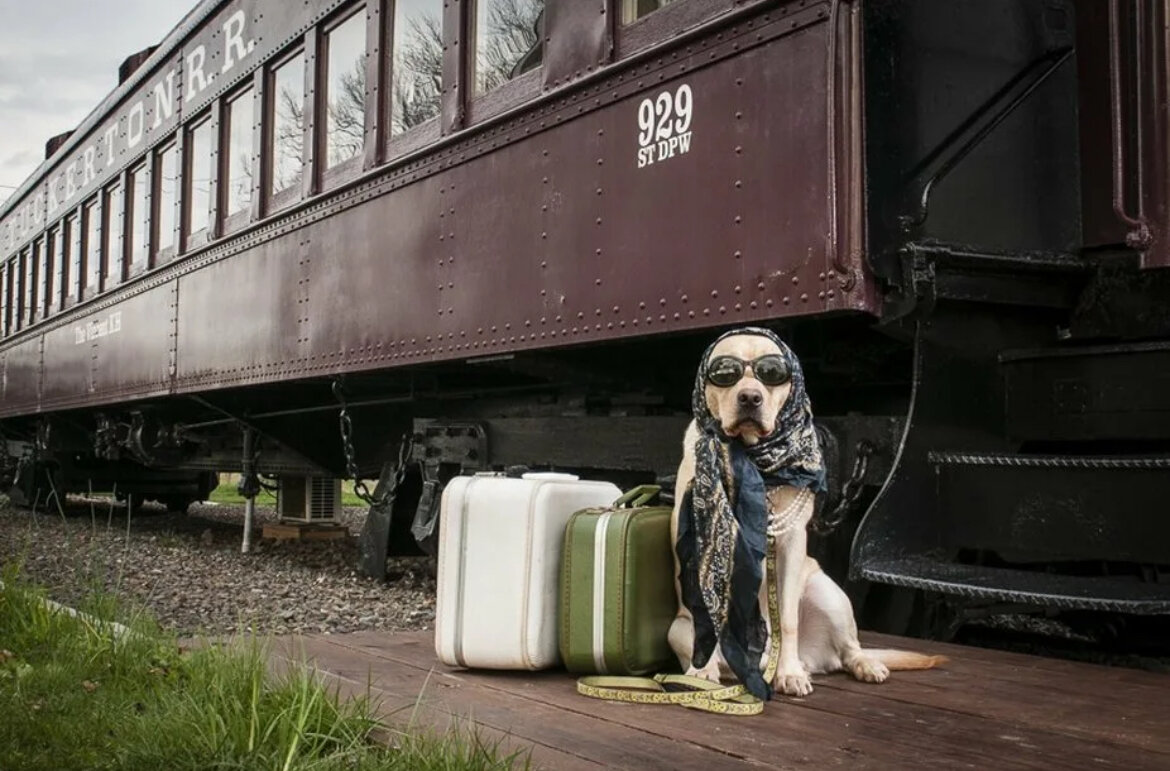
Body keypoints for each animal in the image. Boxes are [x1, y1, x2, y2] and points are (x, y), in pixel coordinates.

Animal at [669, 327, 940, 701]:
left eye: (772, 373)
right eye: (725, 372)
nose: (750, 397)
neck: (754, 458)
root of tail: (817, 658)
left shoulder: (791, 544)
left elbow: (787, 619)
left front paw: (789, 673)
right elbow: (705, 615)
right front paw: (700, 670)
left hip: (828, 594)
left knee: (851, 649)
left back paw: (860, 665)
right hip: (674, 628)